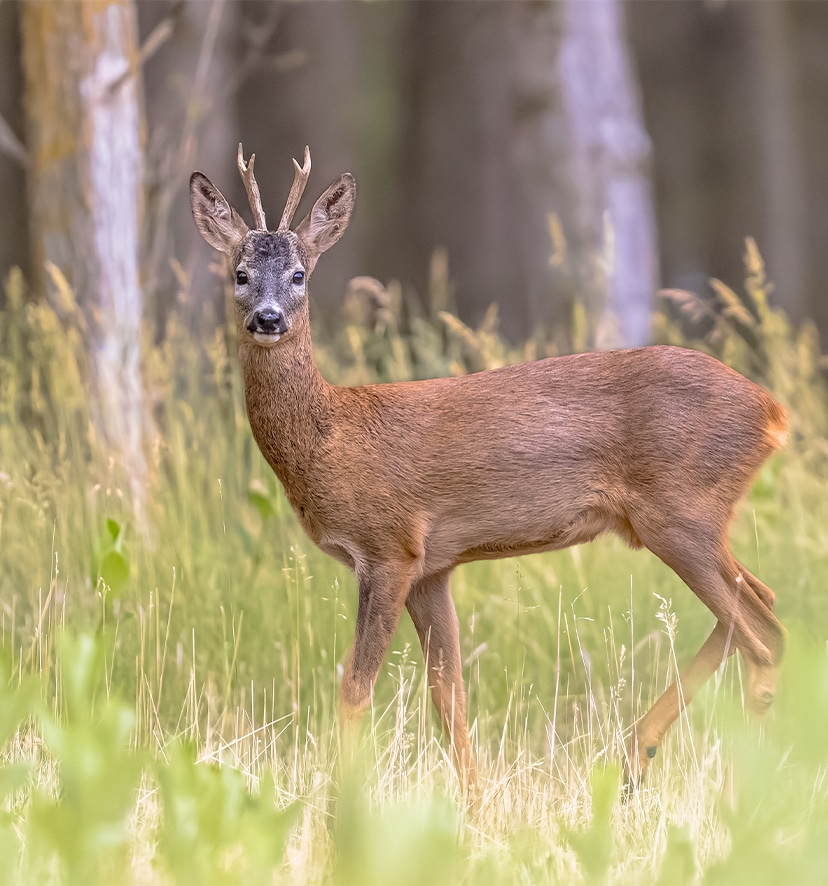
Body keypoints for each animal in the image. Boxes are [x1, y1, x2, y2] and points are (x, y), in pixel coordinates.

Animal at [189, 145, 787, 793]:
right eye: (240, 274)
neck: (333, 439)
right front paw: (477, 806)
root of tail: (772, 411)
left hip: (681, 512)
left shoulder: (389, 548)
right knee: (761, 603)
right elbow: (448, 697)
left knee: (764, 636)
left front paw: (341, 803)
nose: (269, 318)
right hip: (689, 519)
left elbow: (355, 688)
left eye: (299, 275)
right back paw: (633, 757)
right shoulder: (433, 567)